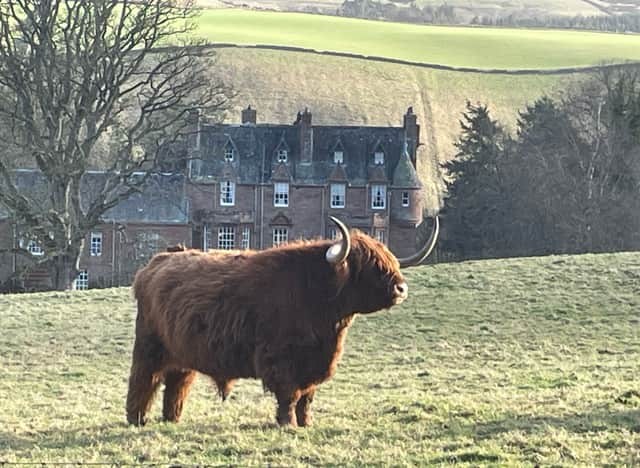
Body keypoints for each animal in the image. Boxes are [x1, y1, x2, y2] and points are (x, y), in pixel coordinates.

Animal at [129, 217, 440, 428]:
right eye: (370, 266)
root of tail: (157, 262)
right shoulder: (281, 359)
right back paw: (137, 419)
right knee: (143, 381)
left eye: (391, 262)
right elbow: (289, 394)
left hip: (183, 355)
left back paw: (172, 419)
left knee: (176, 385)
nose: (401, 288)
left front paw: (306, 423)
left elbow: (307, 397)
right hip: (148, 348)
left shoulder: (315, 362)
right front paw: (287, 424)